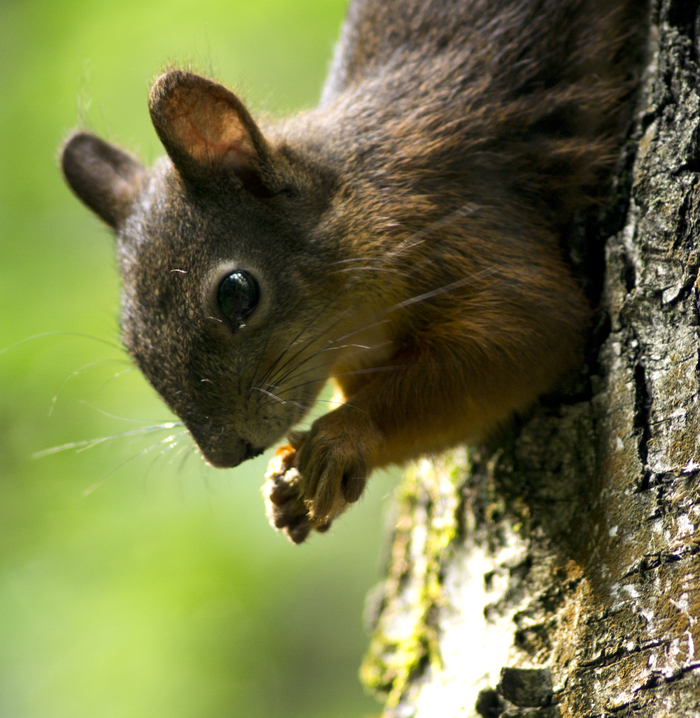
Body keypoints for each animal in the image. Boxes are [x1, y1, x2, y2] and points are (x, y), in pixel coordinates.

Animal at [61, 0, 644, 540]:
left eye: (236, 293)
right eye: (132, 341)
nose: (229, 454)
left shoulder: (460, 222)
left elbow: (530, 330)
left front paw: (340, 437)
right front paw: (290, 488)